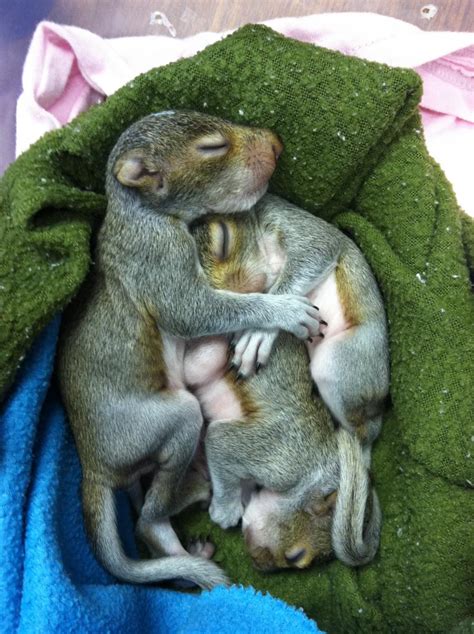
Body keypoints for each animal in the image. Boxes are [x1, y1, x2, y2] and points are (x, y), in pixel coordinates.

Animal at [57, 110, 322, 588]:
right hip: (171, 419)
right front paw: (284, 310)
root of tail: (93, 466)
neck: (139, 213)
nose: (275, 143)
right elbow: (193, 312)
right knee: (147, 520)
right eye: (212, 146)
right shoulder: (157, 258)